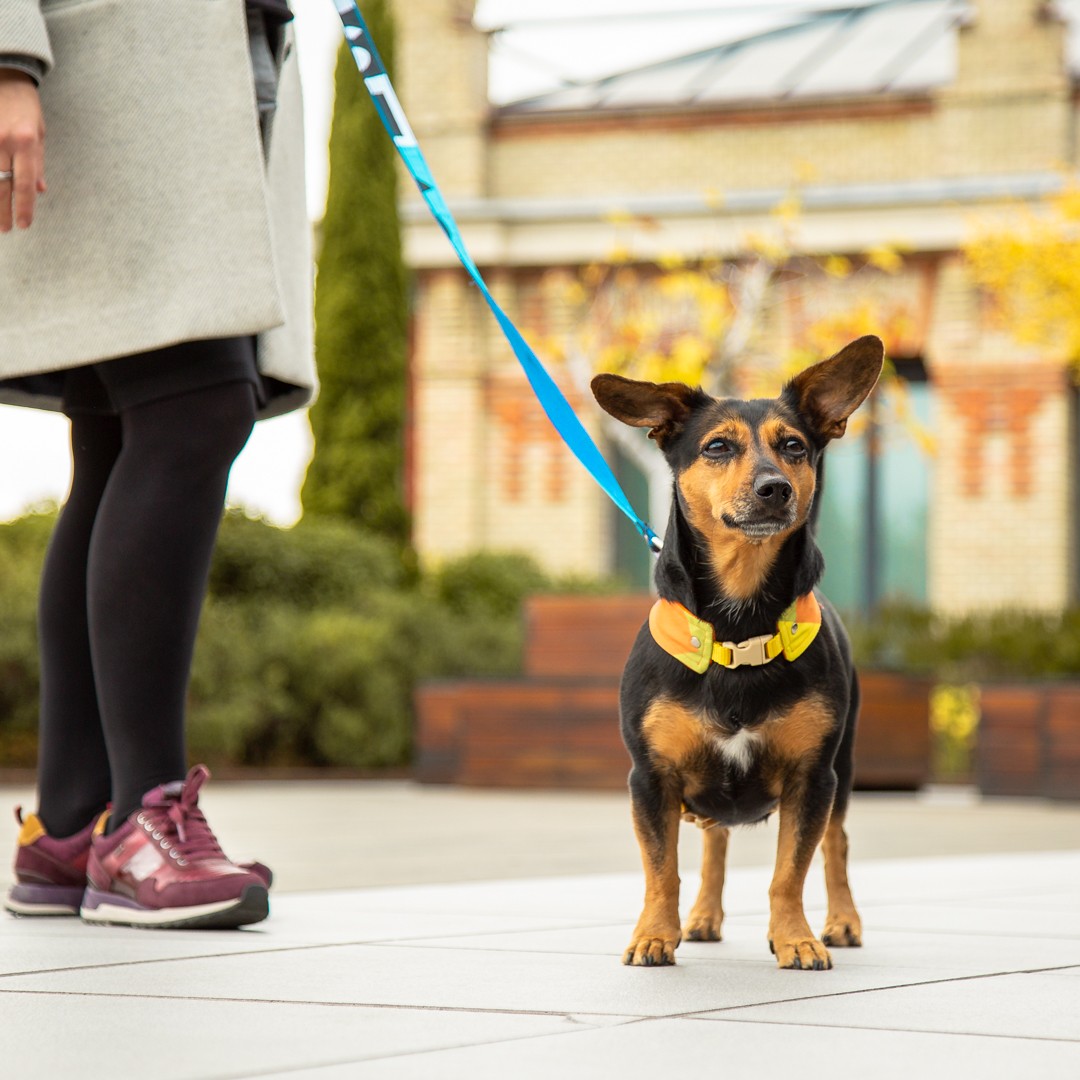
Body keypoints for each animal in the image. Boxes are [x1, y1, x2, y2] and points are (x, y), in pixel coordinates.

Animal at [591, 334, 885, 972]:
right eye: (718, 447)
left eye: (794, 445)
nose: (776, 488)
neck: (738, 626)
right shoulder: (650, 778)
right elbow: (663, 869)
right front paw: (655, 933)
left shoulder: (812, 778)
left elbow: (789, 872)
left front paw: (796, 937)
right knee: (714, 840)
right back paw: (702, 918)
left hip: (844, 765)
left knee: (837, 843)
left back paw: (842, 922)